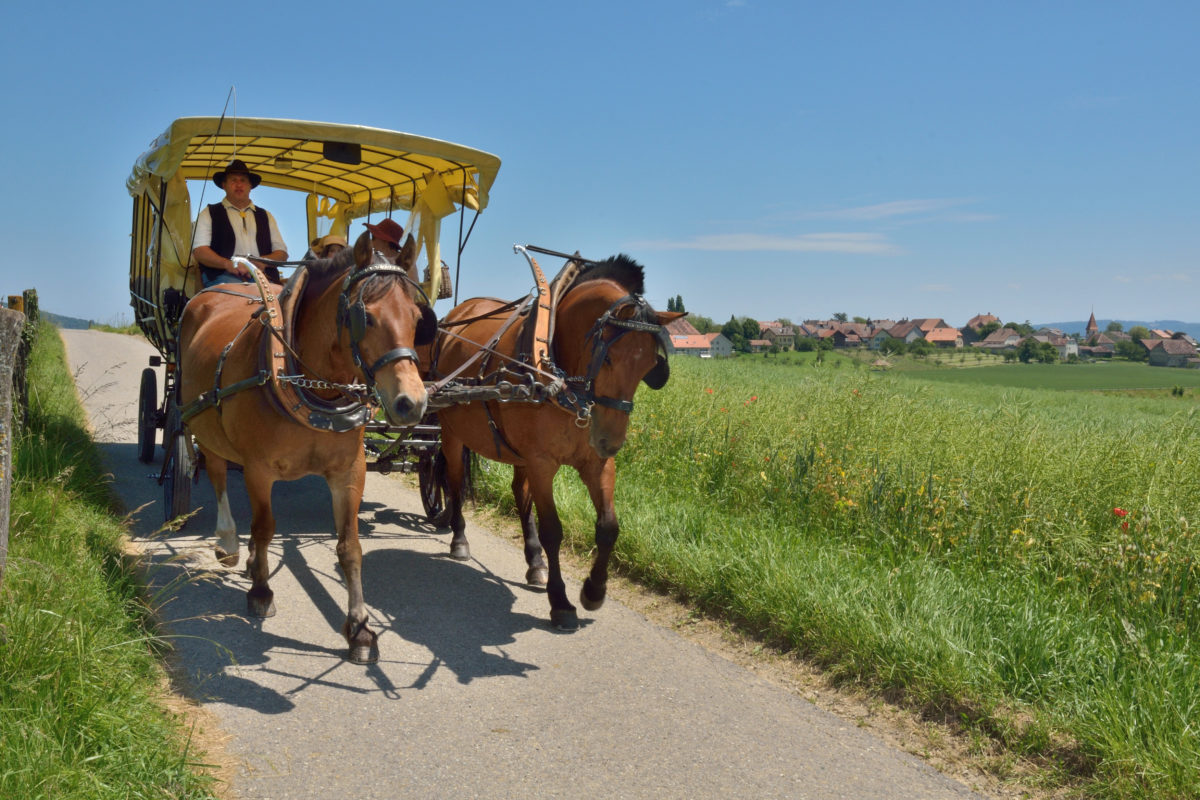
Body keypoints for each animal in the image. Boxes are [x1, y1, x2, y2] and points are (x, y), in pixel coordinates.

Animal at [177, 231, 436, 662]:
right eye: (365, 317)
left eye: (418, 319)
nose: (410, 403)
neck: (314, 387)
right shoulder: (258, 469)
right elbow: (265, 527)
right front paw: (261, 592)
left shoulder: (349, 472)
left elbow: (350, 547)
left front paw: (360, 629)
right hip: (203, 422)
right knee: (216, 474)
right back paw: (229, 543)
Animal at [427, 253, 681, 628]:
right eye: (608, 357)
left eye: (651, 364)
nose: (610, 440)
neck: (557, 377)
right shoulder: (542, 462)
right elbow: (552, 530)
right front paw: (561, 602)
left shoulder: (596, 462)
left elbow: (608, 526)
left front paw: (593, 591)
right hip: (452, 432)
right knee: (455, 482)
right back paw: (459, 540)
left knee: (519, 493)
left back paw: (535, 563)